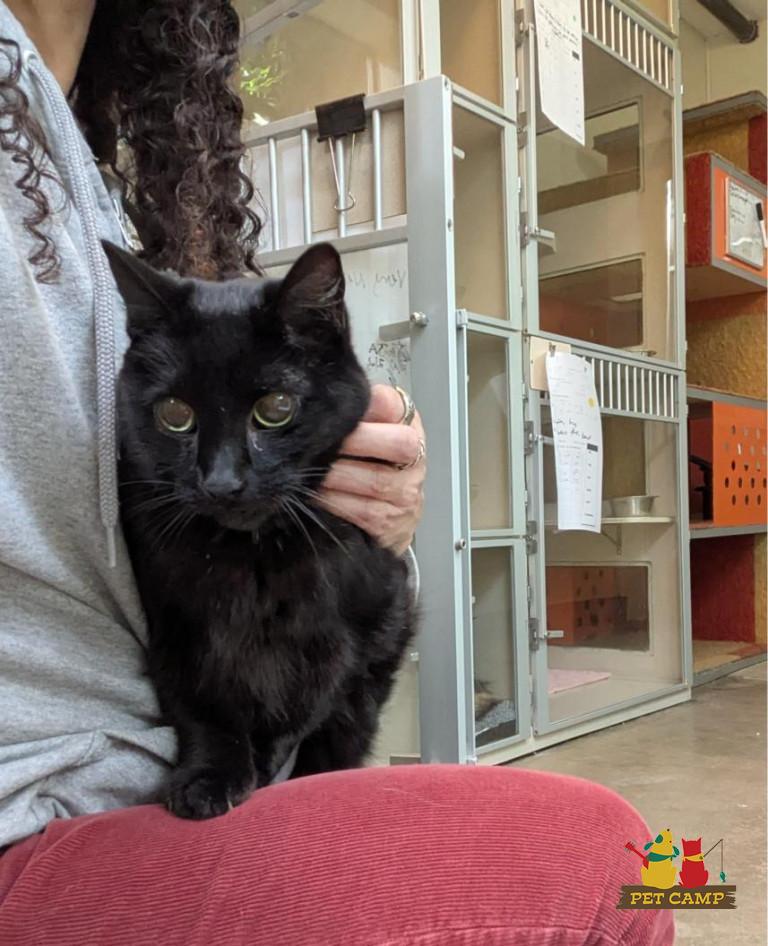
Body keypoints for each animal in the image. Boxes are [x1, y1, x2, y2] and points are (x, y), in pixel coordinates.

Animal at [105, 240, 416, 820]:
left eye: (275, 409)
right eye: (174, 413)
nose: (222, 481)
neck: (253, 557)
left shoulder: (360, 624)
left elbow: (314, 693)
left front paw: (272, 759)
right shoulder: (177, 625)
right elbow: (201, 703)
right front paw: (210, 776)